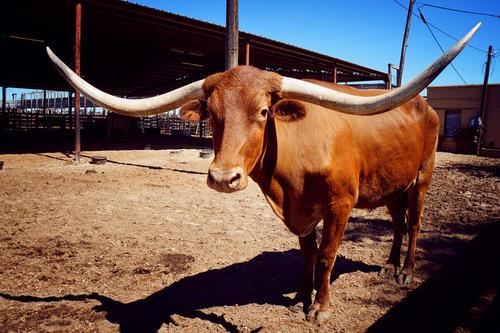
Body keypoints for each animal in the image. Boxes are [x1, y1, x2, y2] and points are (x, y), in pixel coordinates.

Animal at [47, 22, 480, 322]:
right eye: (213, 115)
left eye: (263, 111)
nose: (223, 178)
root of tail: (423, 104)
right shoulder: (302, 211)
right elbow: (306, 256)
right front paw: (300, 299)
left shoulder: (340, 205)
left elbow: (326, 257)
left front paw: (319, 308)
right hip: (390, 184)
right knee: (398, 223)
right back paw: (388, 266)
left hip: (422, 177)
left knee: (416, 223)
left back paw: (405, 273)